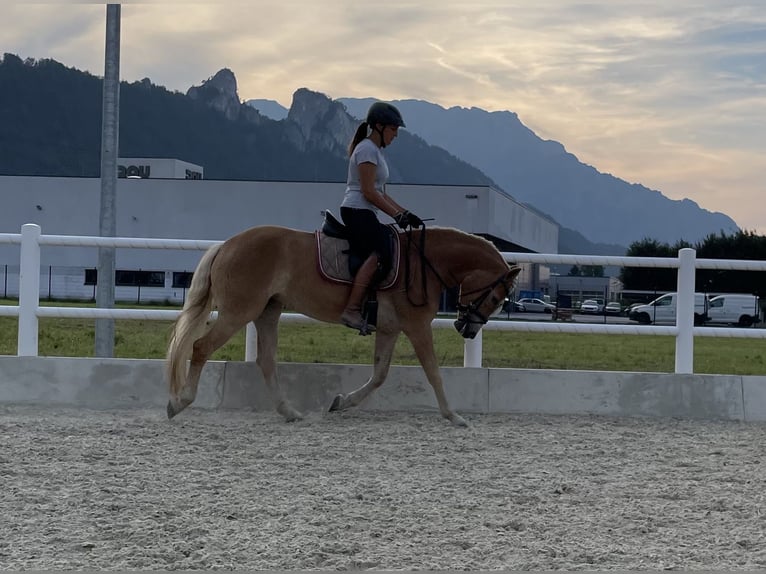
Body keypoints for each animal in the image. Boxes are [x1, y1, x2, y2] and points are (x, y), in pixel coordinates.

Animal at [165, 225, 520, 428]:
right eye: (496, 297)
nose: (467, 329)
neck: (423, 263)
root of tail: (227, 244)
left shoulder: (389, 329)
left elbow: (380, 375)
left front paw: (342, 402)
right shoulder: (417, 326)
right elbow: (433, 372)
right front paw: (454, 416)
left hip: (267, 311)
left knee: (266, 361)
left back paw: (289, 412)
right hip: (239, 311)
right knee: (200, 347)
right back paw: (179, 403)